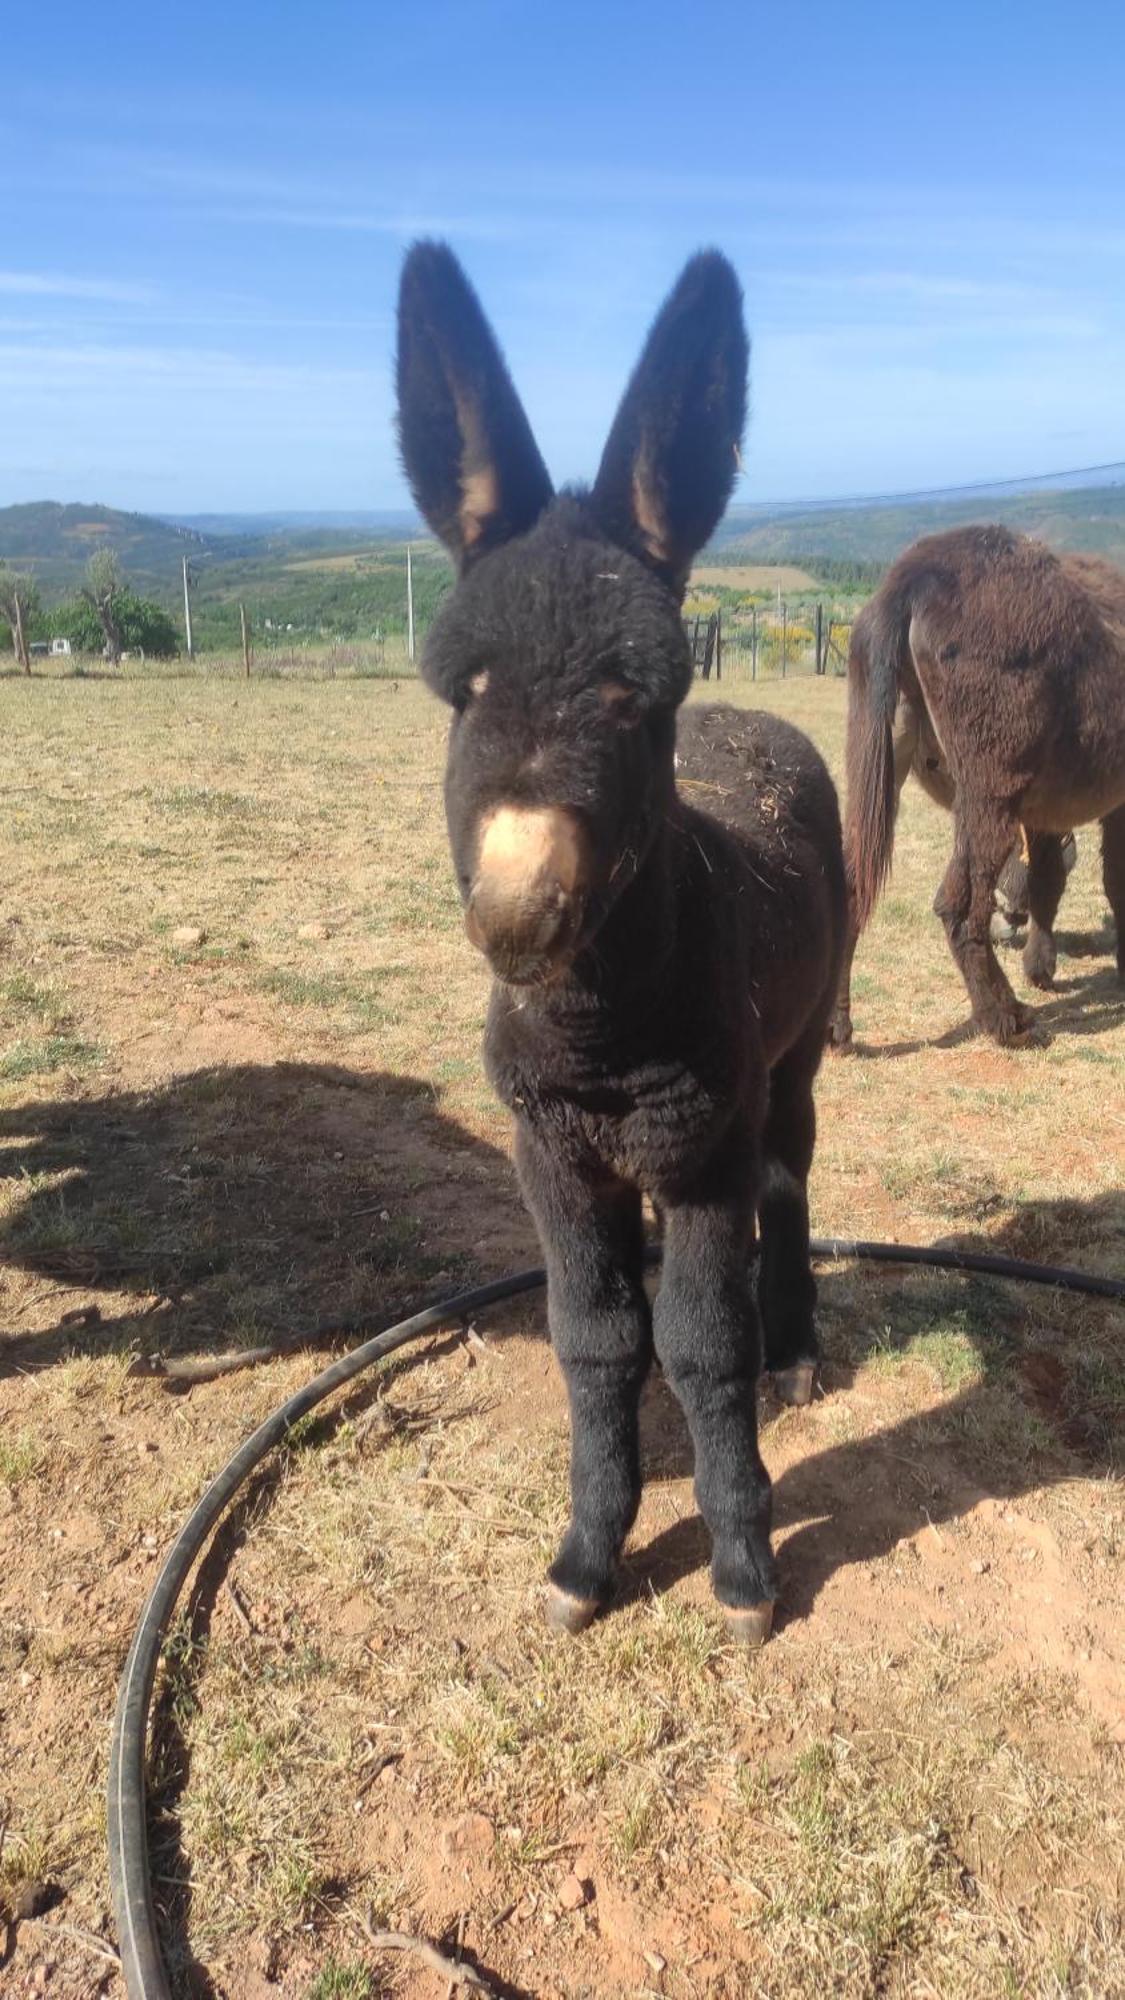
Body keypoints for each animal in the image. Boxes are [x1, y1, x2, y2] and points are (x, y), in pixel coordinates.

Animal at [394, 242, 840, 1648]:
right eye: (464, 693)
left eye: (633, 697)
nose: (518, 914)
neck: (600, 1031)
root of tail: (761, 713)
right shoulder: (549, 1146)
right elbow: (594, 1336)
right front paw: (588, 1554)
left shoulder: (703, 1144)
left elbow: (698, 1340)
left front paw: (745, 1565)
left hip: (792, 1057)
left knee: (788, 1178)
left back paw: (793, 1347)